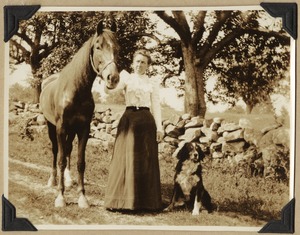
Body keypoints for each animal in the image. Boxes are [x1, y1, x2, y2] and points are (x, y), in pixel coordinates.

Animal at [39, 20, 119, 207]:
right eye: (98, 46)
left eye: (117, 48)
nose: (113, 78)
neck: (75, 89)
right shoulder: (61, 128)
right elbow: (61, 160)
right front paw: (60, 197)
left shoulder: (83, 128)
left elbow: (81, 162)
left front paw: (82, 197)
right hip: (51, 127)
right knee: (56, 151)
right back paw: (53, 180)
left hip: (72, 130)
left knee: (68, 149)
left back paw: (68, 180)